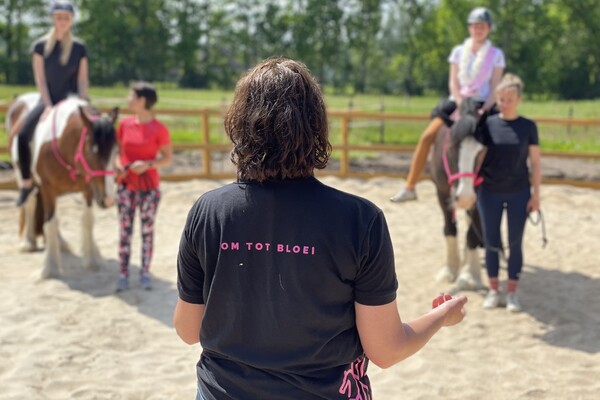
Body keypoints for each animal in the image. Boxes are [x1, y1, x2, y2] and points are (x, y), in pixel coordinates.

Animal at [7, 95, 118, 280]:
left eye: (116, 150)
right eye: (93, 150)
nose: (109, 199)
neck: (61, 143)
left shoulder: (88, 190)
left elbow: (87, 221)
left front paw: (92, 260)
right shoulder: (47, 189)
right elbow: (49, 224)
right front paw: (50, 268)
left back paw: (60, 243)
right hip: (22, 176)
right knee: (31, 204)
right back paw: (28, 242)